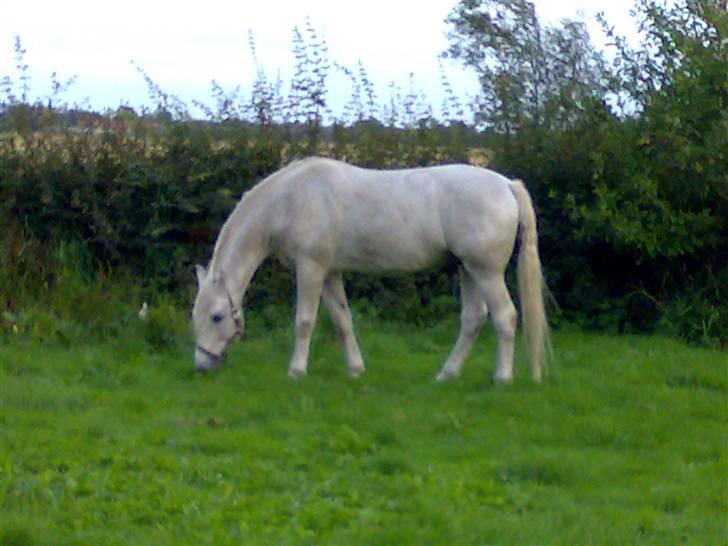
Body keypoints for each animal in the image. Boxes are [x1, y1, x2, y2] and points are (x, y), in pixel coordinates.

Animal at [192, 155, 544, 380]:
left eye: (217, 317)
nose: (202, 365)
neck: (289, 200)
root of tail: (505, 184)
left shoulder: (311, 268)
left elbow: (304, 321)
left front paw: (296, 371)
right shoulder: (330, 273)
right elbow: (342, 320)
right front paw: (356, 370)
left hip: (486, 272)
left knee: (505, 316)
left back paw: (502, 377)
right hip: (467, 270)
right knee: (473, 319)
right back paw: (447, 374)